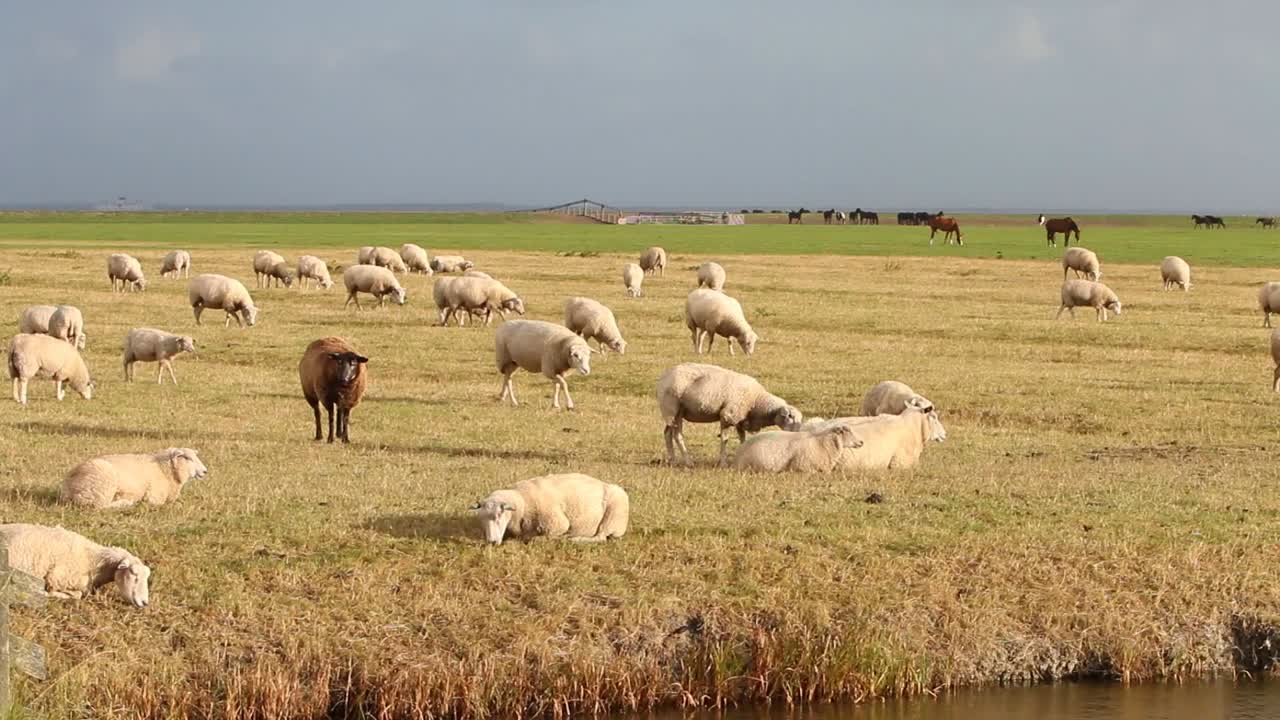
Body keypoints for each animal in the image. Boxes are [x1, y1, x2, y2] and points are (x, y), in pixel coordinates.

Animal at [0, 524, 150, 607]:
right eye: (134, 574)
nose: (145, 603)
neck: (92, 560)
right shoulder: (56, 578)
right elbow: (76, 594)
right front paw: (49, 594)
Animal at [60, 448, 208, 509]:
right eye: (188, 458)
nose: (205, 471)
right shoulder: (153, 497)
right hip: (102, 487)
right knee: (100, 506)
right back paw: (125, 503)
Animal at [471, 473, 629, 545]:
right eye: (480, 519)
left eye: (499, 515)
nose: (491, 542)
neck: (523, 501)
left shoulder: (558, 524)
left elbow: (536, 539)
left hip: (612, 519)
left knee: (600, 537)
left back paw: (572, 538)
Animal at [657, 363, 803, 467]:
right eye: (790, 416)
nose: (797, 433)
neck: (757, 401)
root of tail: (663, 377)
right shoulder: (728, 415)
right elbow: (724, 439)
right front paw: (723, 463)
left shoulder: (740, 420)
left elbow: (742, 438)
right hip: (671, 409)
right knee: (675, 435)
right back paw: (687, 462)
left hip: (677, 413)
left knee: (668, 434)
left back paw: (673, 460)